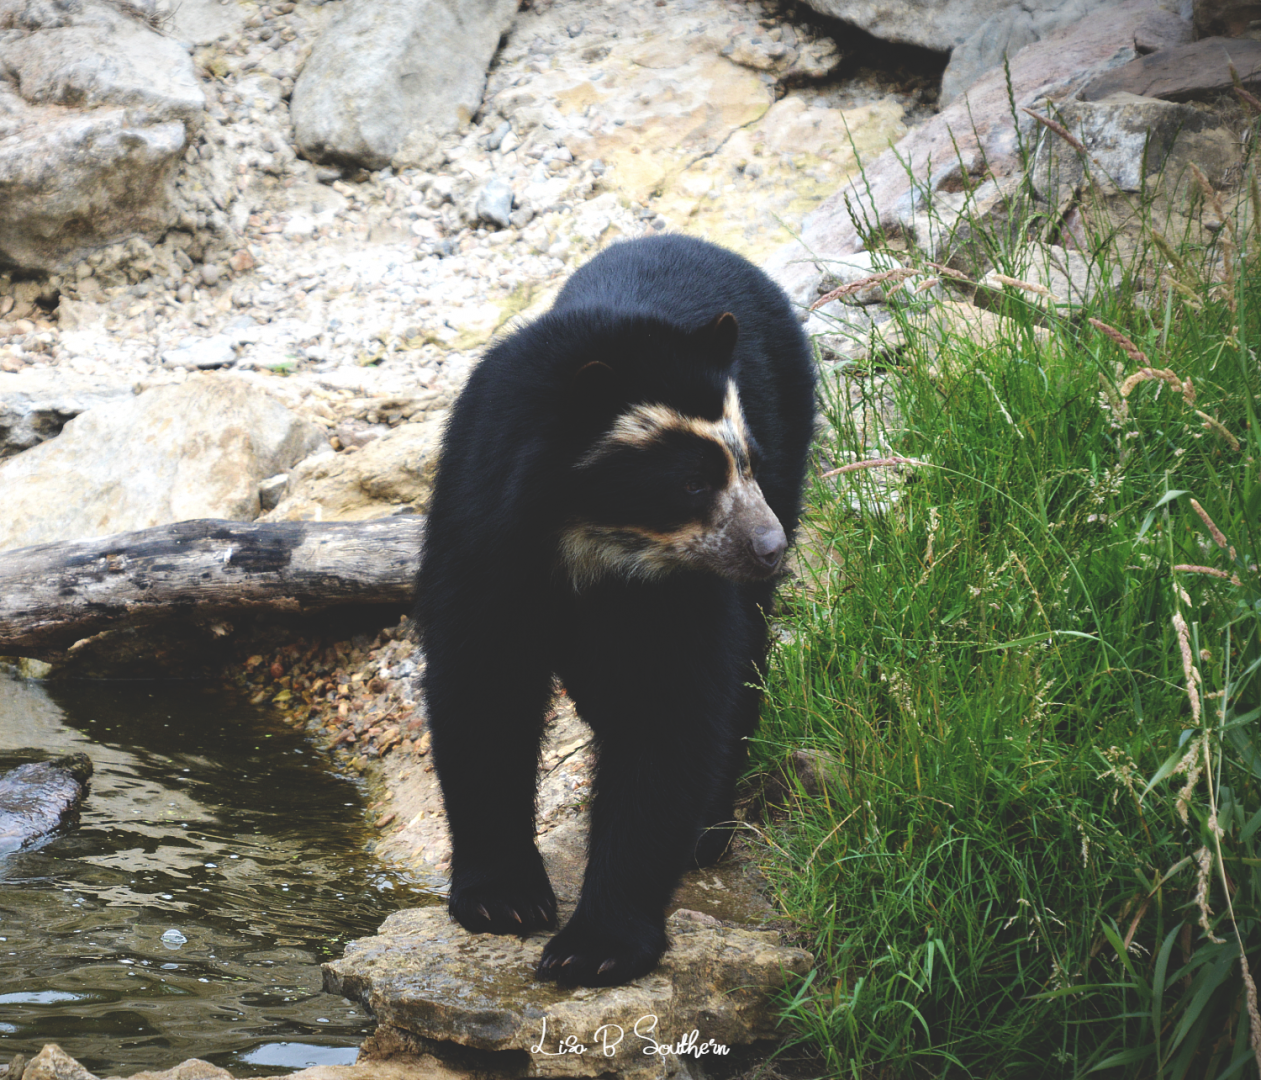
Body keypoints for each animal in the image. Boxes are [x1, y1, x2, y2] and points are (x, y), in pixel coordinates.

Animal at [414, 233, 816, 987]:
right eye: (691, 482)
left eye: (745, 462)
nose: (770, 547)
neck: (591, 540)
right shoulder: (483, 534)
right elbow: (482, 688)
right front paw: (503, 902)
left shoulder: (678, 586)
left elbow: (670, 709)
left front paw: (593, 946)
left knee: (745, 652)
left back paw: (708, 830)